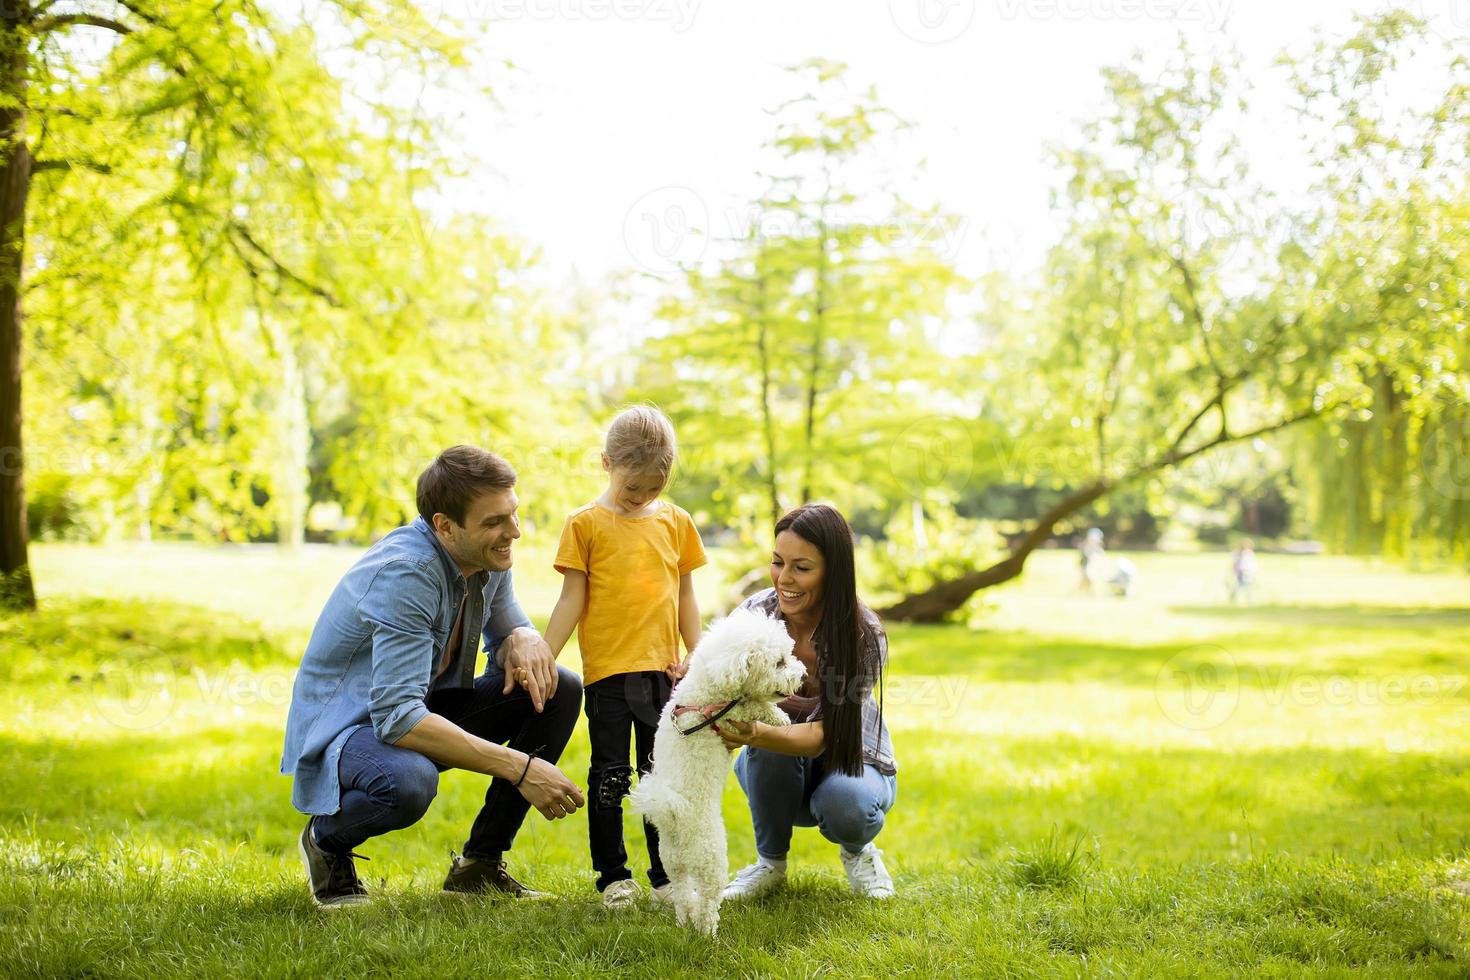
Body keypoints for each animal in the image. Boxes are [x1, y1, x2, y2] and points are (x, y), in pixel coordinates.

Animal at [629, 608, 811, 940]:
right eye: (779, 662)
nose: (803, 675)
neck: (710, 685)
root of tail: (675, 816)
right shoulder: (727, 714)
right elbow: (753, 705)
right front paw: (779, 717)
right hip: (711, 859)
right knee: (707, 902)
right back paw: (708, 934)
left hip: (674, 865)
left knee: (684, 897)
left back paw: (684, 923)